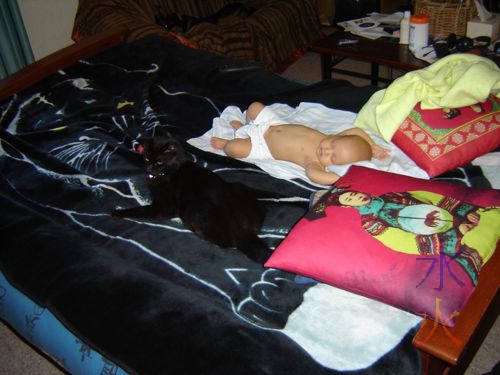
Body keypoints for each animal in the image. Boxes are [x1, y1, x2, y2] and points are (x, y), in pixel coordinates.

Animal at [112, 137, 272, 262]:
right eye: (146, 158)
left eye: (158, 162)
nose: (149, 169)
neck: (173, 169)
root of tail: (245, 232)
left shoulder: (165, 207)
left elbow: (141, 210)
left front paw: (117, 212)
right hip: (239, 187)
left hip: (194, 210)